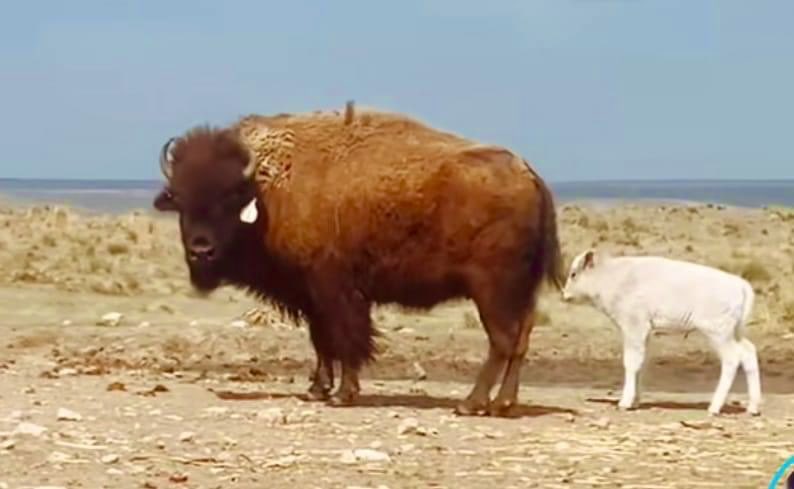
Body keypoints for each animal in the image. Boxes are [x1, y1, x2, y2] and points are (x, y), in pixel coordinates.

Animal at [153, 104, 564, 416]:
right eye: (180, 199)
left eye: (230, 196)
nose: (201, 250)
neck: (270, 188)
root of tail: (529, 174)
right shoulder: (311, 296)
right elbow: (321, 342)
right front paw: (317, 389)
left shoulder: (336, 291)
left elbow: (345, 339)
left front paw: (342, 395)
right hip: (520, 292)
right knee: (520, 340)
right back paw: (503, 404)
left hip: (490, 290)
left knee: (502, 341)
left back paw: (471, 404)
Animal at [560, 250, 756, 414]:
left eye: (574, 274)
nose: (564, 295)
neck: (613, 277)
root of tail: (740, 285)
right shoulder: (644, 332)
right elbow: (641, 363)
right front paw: (635, 401)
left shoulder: (634, 327)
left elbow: (631, 363)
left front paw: (625, 402)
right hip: (734, 333)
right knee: (748, 353)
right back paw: (753, 407)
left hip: (719, 333)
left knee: (732, 359)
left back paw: (715, 407)